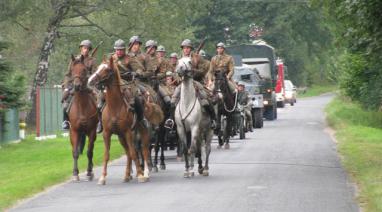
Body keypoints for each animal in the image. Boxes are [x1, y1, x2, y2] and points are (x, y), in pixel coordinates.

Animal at [87, 57, 152, 185]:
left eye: (107, 69)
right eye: (98, 67)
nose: (90, 80)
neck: (115, 106)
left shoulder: (128, 132)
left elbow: (134, 153)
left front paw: (140, 175)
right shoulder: (107, 133)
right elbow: (106, 155)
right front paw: (102, 177)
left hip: (142, 131)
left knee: (144, 150)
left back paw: (146, 173)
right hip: (121, 137)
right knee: (128, 153)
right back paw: (127, 175)